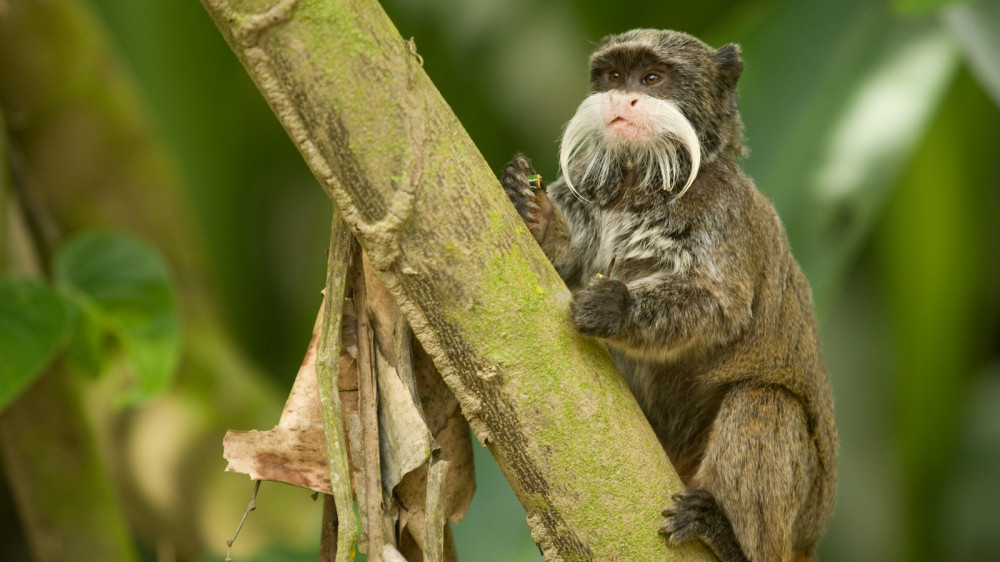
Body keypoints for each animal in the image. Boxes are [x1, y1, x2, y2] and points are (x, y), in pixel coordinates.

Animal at [500, 29, 836, 560]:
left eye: (652, 79)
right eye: (614, 76)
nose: (623, 97)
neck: (641, 180)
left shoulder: (722, 209)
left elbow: (720, 306)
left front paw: (614, 309)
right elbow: (566, 257)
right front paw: (531, 208)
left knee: (763, 403)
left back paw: (726, 535)